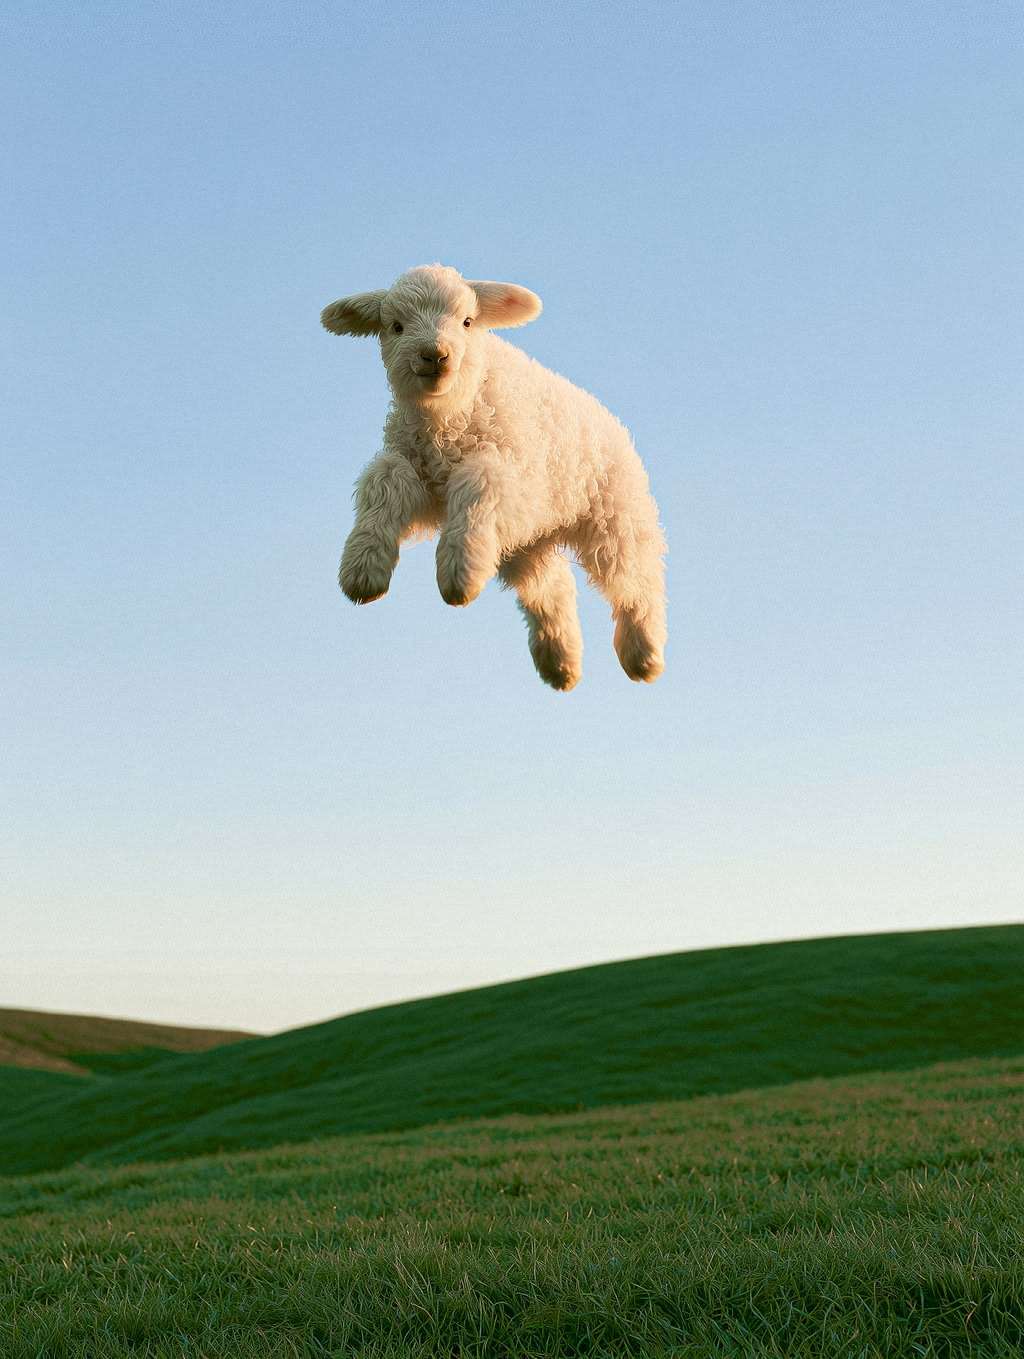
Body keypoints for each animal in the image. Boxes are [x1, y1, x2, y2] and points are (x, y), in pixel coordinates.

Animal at [321, 264, 667, 689]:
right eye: (396, 327)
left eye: (468, 321)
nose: (435, 355)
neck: (448, 417)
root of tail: (612, 422)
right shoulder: (415, 468)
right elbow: (383, 480)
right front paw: (363, 568)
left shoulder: (519, 481)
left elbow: (478, 479)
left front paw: (458, 573)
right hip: (524, 544)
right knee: (550, 587)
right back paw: (560, 663)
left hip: (613, 515)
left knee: (636, 582)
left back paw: (643, 655)